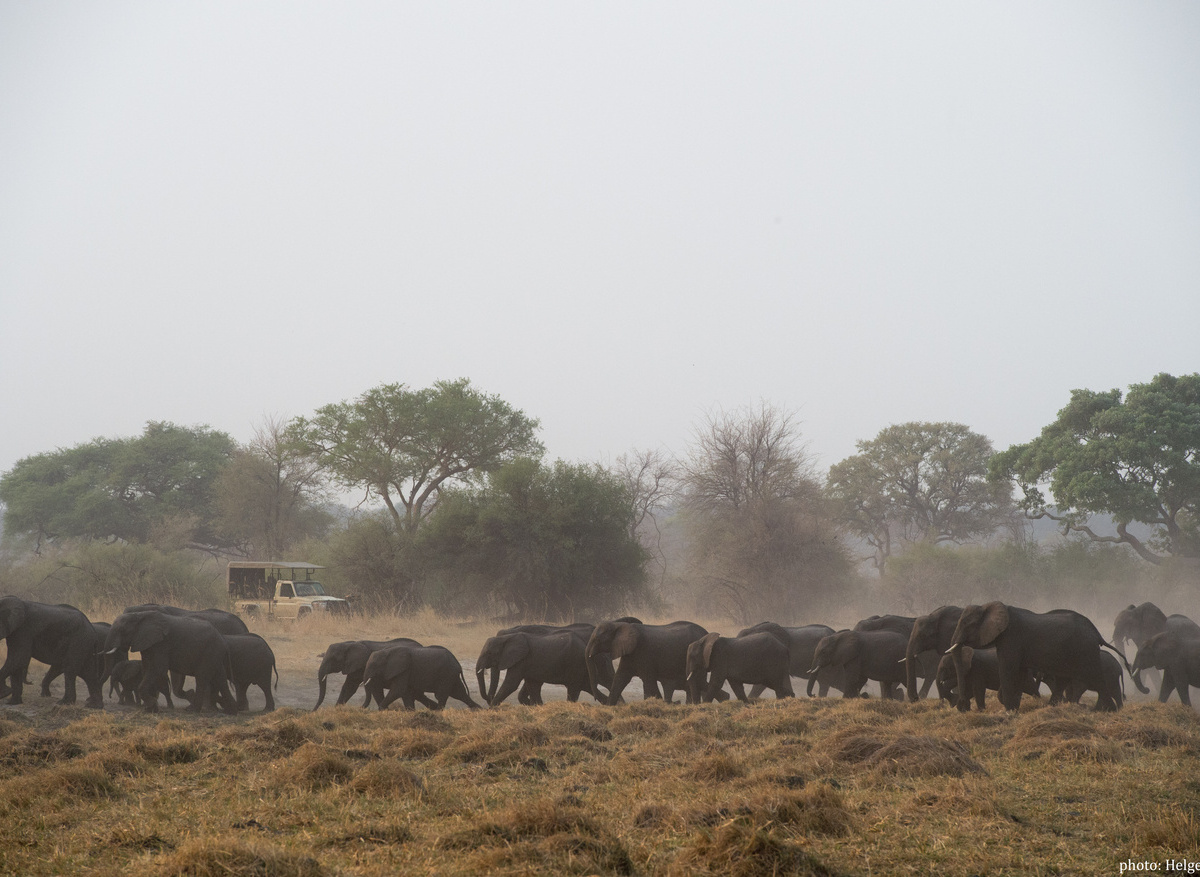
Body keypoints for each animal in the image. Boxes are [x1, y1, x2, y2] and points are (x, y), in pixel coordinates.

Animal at [102, 610, 236, 714]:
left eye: (122, 630)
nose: (109, 697)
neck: (140, 615)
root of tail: (223, 641)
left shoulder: (162, 644)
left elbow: (157, 668)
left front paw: (152, 705)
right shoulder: (148, 644)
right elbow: (147, 667)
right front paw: (150, 709)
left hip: (209, 652)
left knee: (202, 678)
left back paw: (192, 710)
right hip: (214, 655)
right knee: (220, 678)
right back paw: (231, 711)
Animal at [949, 602, 1123, 712]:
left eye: (967, 624)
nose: (962, 706)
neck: (988, 606)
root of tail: (1096, 633)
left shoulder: (1012, 637)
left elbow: (1008, 668)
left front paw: (1008, 710)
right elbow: (1019, 672)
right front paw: (1014, 709)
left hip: (1085, 650)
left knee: (1095, 676)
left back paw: (1108, 710)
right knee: (1064, 679)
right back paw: (1053, 707)